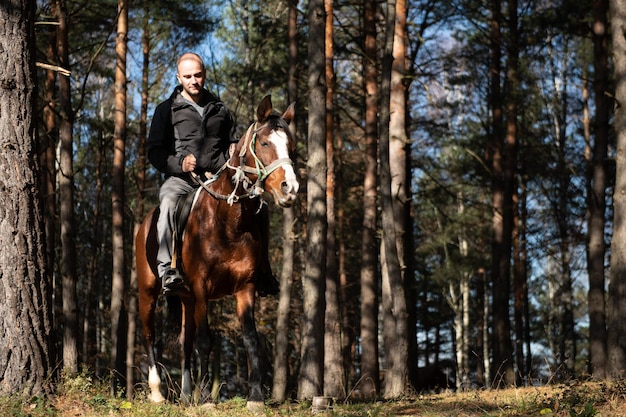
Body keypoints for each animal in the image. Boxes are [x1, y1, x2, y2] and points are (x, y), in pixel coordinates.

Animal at [135, 95, 296, 410]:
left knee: (184, 343)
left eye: (291, 145)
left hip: (185, 299)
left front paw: (255, 397)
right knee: (149, 336)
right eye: (265, 143)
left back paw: (186, 396)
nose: (290, 188)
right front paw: (208, 399)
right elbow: (206, 341)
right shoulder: (201, 288)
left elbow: (250, 339)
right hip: (148, 293)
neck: (227, 221)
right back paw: (158, 393)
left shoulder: (246, 287)